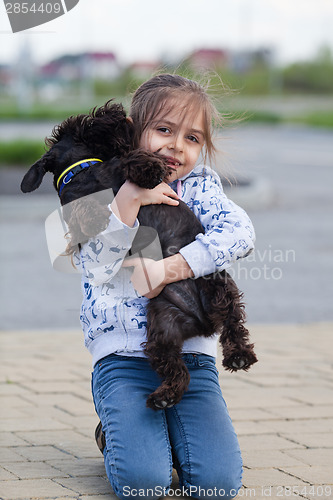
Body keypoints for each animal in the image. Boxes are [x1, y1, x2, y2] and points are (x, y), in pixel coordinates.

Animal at [21, 100, 256, 410]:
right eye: (84, 123)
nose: (116, 111)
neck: (82, 172)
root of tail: (202, 322)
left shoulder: (121, 168)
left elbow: (133, 162)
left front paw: (149, 169)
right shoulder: (74, 212)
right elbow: (83, 214)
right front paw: (97, 216)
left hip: (216, 283)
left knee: (232, 320)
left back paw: (239, 355)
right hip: (162, 327)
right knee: (177, 368)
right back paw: (164, 396)